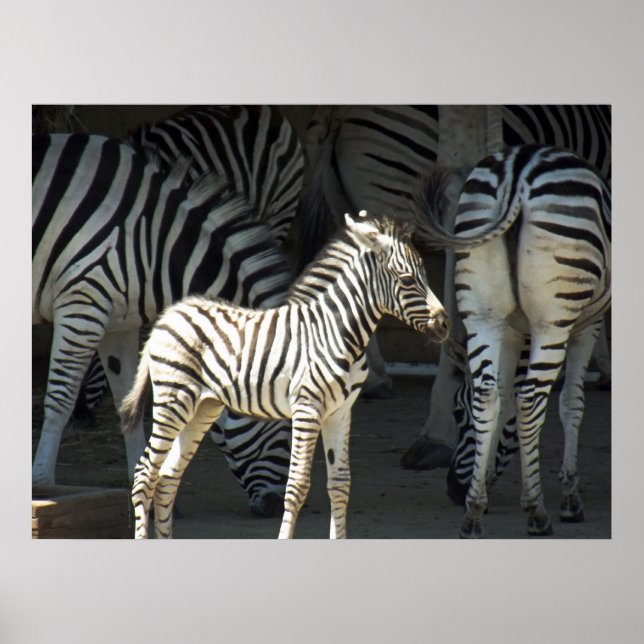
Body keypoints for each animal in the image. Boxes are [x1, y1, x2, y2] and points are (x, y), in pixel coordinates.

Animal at [120, 210, 450, 539]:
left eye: (424, 273)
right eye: (407, 280)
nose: (445, 325)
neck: (337, 333)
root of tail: (169, 315)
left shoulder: (341, 412)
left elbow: (340, 484)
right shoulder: (307, 409)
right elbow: (298, 486)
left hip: (203, 407)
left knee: (167, 477)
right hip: (173, 400)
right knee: (145, 474)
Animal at [414, 145, 611, 537]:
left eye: (458, 412)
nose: (453, 490)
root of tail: (518, 169)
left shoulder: (512, 329)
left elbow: (503, 399)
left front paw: (483, 485)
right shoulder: (588, 324)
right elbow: (571, 402)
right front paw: (570, 499)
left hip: (483, 313)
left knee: (488, 395)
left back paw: (473, 516)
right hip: (553, 316)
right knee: (532, 399)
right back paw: (537, 512)